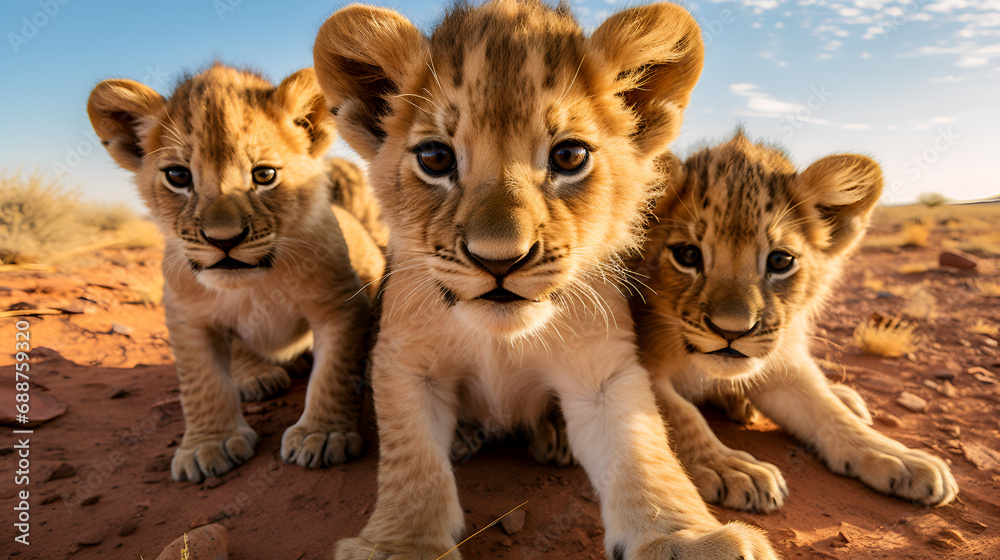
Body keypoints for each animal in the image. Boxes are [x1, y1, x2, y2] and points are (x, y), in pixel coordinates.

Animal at [87, 64, 383, 482]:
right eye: (178, 176)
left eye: (264, 175)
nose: (223, 239)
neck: (253, 285)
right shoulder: (187, 317)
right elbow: (202, 383)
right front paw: (208, 445)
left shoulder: (340, 305)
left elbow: (334, 373)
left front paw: (323, 435)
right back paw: (258, 375)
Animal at [312, 2, 778, 559]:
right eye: (435, 158)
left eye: (569, 157)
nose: (499, 260)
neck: (500, 339)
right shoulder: (403, 360)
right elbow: (412, 462)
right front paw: (401, 546)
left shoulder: (602, 372)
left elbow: (645, 453)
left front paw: (682, 539)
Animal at [631, 132, 958, 513]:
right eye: (687, 255)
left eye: (780, 261)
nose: (731, 331)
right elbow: (680, 415)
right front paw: (730, 468)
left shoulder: (783, 363)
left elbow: (829, 411)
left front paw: (901, 458)